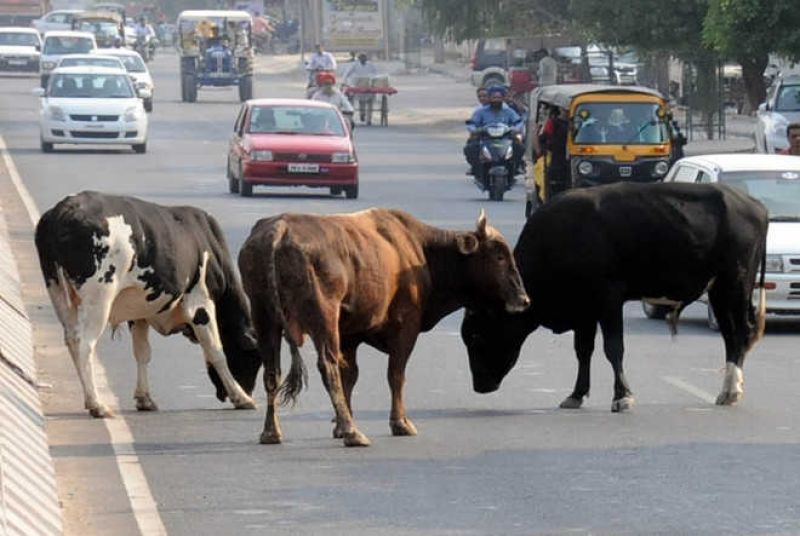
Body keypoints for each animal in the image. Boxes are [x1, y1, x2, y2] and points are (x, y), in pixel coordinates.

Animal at [34, 191, 262, 418]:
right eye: (254, 358)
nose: (224, 395)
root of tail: (66, 207)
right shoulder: (200, 302)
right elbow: (216, 351)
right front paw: (242, 397)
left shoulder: (138, 313)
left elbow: (142, 352)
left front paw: (145, 399)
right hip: (99, 297)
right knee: (85, 343)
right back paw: (97, 404)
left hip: (58, 291)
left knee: (72, 338)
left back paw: (90, 399)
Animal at [238, 208, 530, 447]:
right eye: (499, 256)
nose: (524, 299)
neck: (420, 251)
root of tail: (280, 228)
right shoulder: (405, 327)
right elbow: (395, 375)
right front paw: (399, 423)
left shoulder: (350, 334)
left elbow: (350, 376)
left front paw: (340, 424)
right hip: (324, 317)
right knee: (327, 366)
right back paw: (353, 433)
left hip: (264, 316)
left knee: (272, 371)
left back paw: (271, 432)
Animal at [461, 182, 768, 412]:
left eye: (477, 335)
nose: (479, 386)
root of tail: (754, 204)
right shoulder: (583, 309)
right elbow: (583, 351)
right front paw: (576, 394)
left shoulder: (608, 299)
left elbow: (613, 348)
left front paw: (622, 396)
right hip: (718, 290)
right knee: (730, 335)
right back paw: (728, 390)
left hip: (735, 284)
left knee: (740, 332)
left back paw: (731, 390)